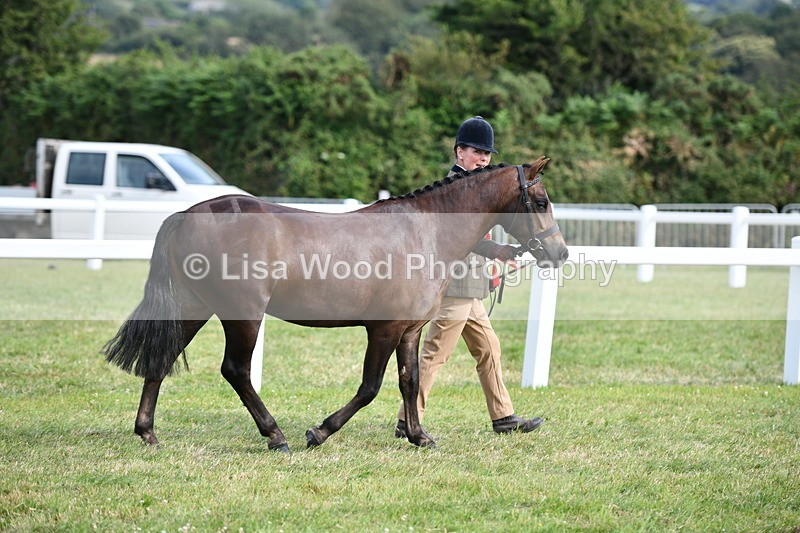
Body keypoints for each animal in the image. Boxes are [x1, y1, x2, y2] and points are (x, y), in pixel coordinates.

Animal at [103, 157, 569, 452]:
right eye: (540, 202)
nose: (560, 253)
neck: (426, 231)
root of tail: (189, 213)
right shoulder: (382, 329)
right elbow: (370, 387)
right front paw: (320, 431)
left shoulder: (410, 330)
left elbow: (410, 381)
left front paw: (419, 436)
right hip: (243, 315)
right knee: (235, 370)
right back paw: (276, 436)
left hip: (194, 306)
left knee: (161, 357)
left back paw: (148, 433)